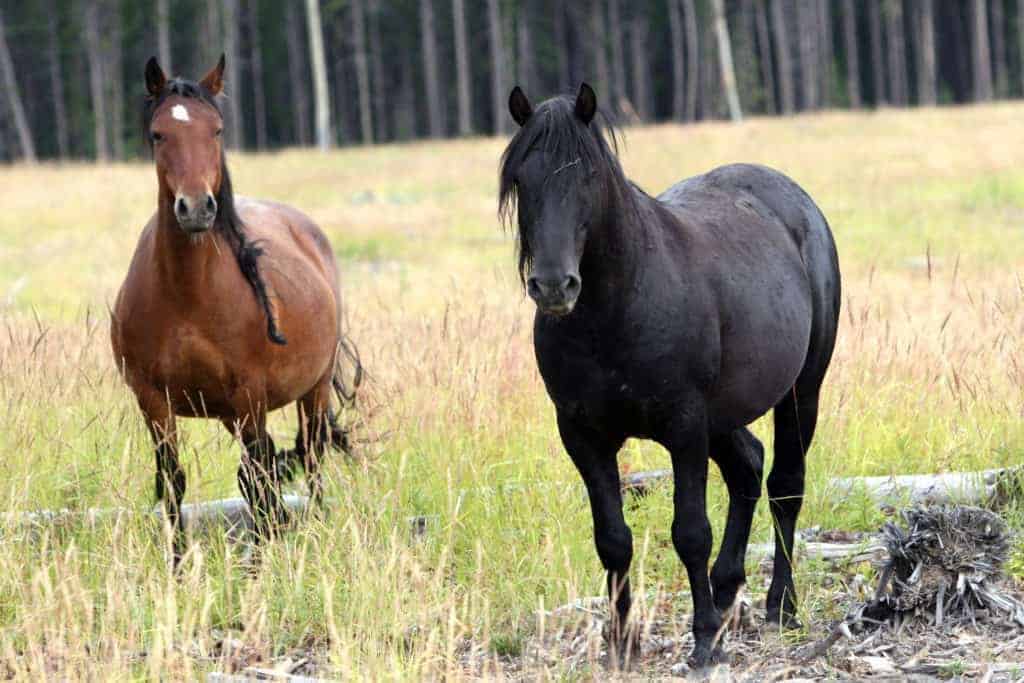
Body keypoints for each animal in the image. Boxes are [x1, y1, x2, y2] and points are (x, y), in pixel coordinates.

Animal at [111, 56, 358, 567]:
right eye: (158, 134)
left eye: (217, 130)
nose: (195, 208)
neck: (187, 295)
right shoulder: (153, 401)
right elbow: (174, 481)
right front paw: (177, 566)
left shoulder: (250, 397)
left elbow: (260, 479)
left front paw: (261, 566)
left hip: (313, 388)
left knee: (311, 454)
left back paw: (316, 527)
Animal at [499, 84, 840, 668]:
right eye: (523, 178)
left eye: (589, 176)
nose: (554, 285)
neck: (617, 309)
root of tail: (798, 203)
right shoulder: (583, 435)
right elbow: (612, 538)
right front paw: (621, 642)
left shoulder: (683, 427)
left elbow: (690, 531)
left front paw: (701, 641)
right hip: (722, 417)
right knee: (748, 467)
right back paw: (726, 594)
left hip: (801, 391)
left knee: (785, 486)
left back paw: (780, 607)